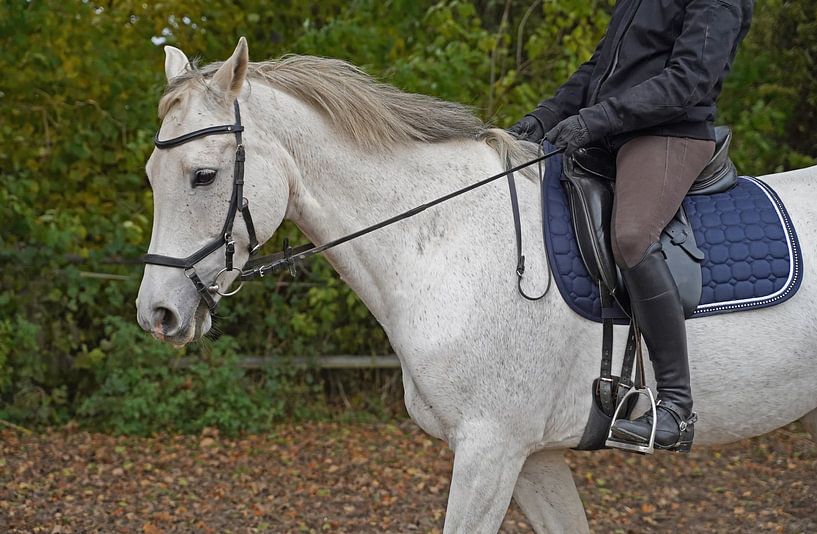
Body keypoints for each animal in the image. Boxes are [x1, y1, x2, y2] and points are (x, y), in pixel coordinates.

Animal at [136, 38, 817, 533]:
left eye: (203, 176)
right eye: (150, 174)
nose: (158, 315)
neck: (448, 242)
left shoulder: (490, 450)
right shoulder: (533, 457)